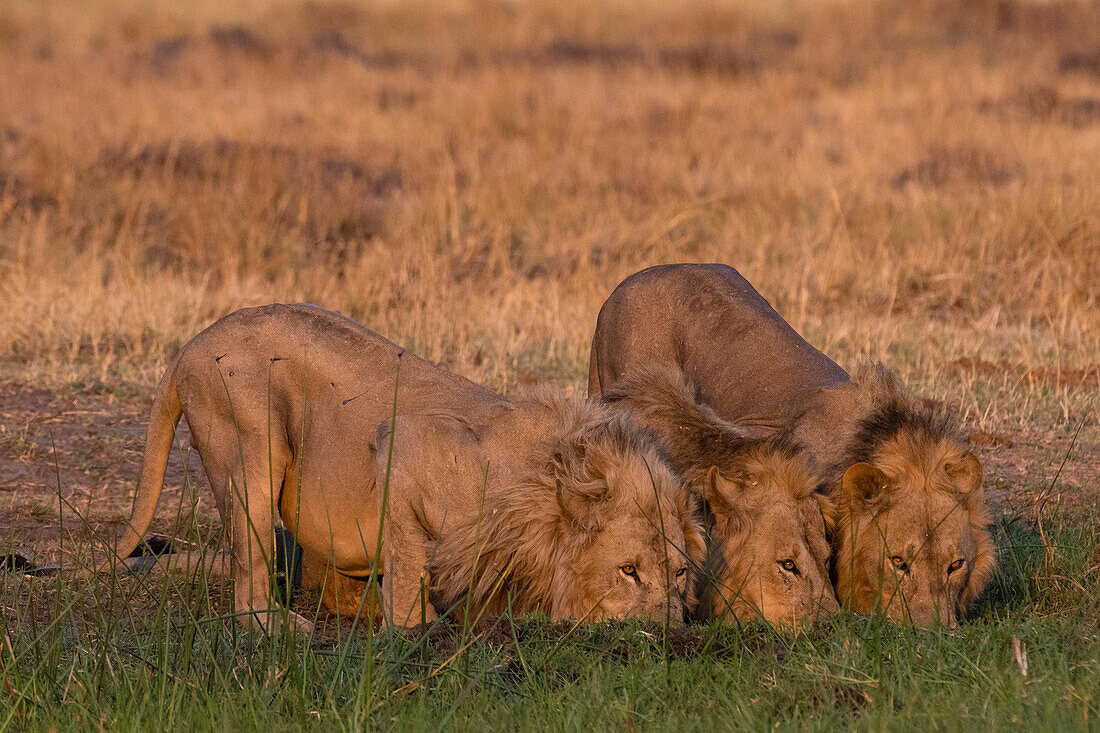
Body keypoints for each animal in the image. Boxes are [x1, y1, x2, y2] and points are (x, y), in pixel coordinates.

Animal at [107, 301, 699, 629]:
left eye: (678, 572)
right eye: (628, 571)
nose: (674, 632)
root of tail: (188, 347)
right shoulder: (404, 441)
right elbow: (411, 556)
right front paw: (416, 629)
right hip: (250, 438)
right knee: (248, 578)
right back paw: (283, 625)